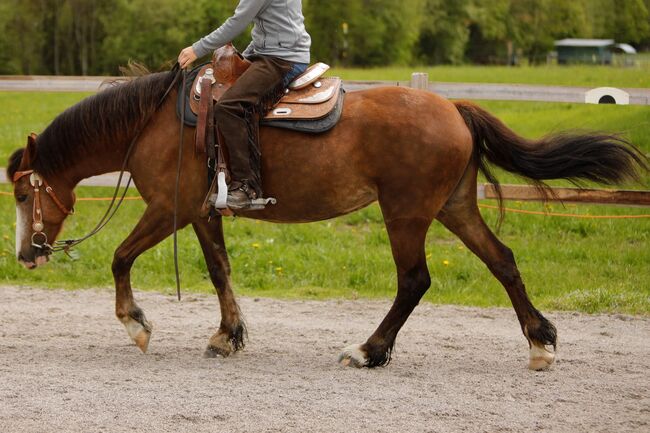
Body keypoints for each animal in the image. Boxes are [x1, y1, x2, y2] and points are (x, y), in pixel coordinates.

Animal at [5, 70, 644, 368]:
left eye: (20, 192)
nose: (26, 254)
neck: (154, 122)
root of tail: (453, 108)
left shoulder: (168, 209)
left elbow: (120, 257)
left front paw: (137, 324)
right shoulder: (203, 213)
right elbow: (220, 270)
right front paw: (227, 336)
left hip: (406, 212)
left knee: (414, 280)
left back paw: (368, 350)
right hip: (454, 207)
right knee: (503, 262)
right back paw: (541, 344)